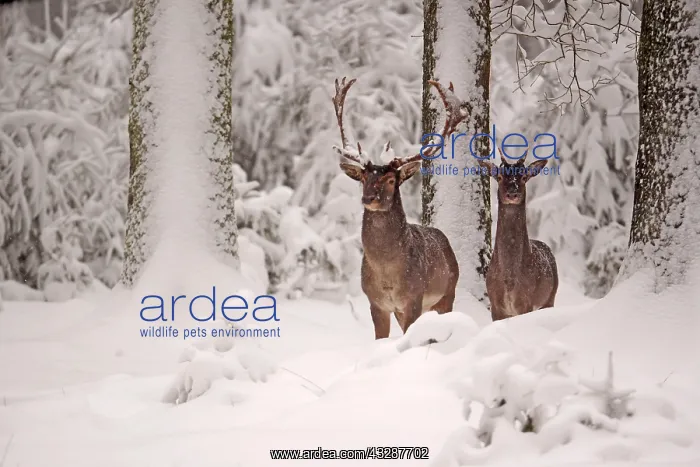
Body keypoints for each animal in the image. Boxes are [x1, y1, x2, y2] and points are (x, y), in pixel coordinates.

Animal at [331, 77, 467, 339]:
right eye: (364, 177)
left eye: (391, 180)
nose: (369, 198)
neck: (387, 274)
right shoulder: (377, 302)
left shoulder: (414, 297)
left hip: (448, 292)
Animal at [477, 152, 559, 321]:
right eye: (499, 176)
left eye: (524, 177)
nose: (512, 194)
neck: (509, 280)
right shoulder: (495, 305)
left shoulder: (527, 302)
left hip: (550, 297)